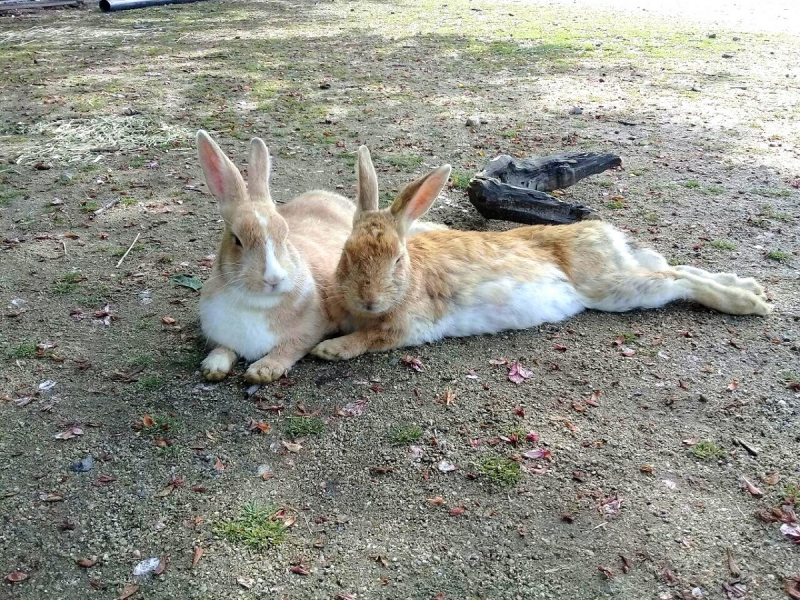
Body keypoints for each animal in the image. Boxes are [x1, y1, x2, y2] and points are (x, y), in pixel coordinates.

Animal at [194, 134, 444, 382]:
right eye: (237, 240)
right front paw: (213, 366)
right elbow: (223, 348)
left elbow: (288, 349)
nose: (273, 278)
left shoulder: (311, 331)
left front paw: (262, 370)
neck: (257, 303)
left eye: (285, 234)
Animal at [310, 146, 768, 360]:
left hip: (613, 288)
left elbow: (371, 338)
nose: (369, 299)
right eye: (346, 255)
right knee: (678, 267)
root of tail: (605, 234)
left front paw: (328, 350)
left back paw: (750, 303)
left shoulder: (407, 326)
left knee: (677, 280)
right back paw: (752, 287)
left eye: (397, 260)